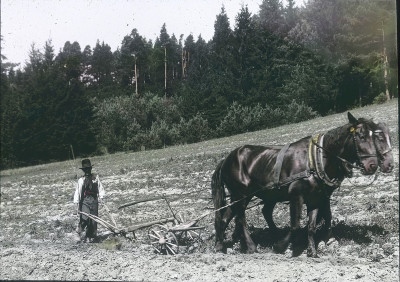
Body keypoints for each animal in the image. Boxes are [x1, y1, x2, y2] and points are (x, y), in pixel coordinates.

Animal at [211, 111, 380, 256]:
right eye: (361, 136)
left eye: (376, 138)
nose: (372, 165)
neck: (315, 160)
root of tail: (226, 159)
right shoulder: (296, 196)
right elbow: (295, 225)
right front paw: (280, 246)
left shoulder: (315, 198)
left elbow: (311, 225)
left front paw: (311, 250)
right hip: (242, 194)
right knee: (241, 218)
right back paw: (251, 246)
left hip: (247, 196)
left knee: (229, 217)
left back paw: (221, 244)